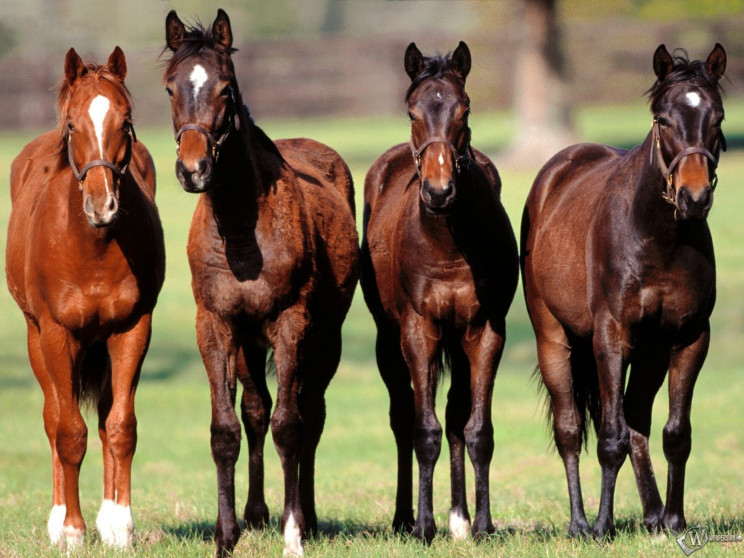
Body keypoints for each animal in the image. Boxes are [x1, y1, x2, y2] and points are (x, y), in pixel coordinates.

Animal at [6, 47, 164, 552]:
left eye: (126, 122)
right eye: (73, 125)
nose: (102, 205)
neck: (92, 247)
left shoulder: (132, 329)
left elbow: (120, 427)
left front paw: (119, 526)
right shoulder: (57, 335)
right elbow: (67, 431)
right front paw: (72, 530)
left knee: (104, 420)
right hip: (38, 340)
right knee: (53, 417)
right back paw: (59, 520)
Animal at [163, 9, 360, 558]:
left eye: (226, 88)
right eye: (170, 88)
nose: (193, 169)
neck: (240, 230)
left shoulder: (291, 324)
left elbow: (290, 426)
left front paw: (293, 532)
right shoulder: (216, 325)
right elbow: (226, 429)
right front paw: (225, 535)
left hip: (325, 338)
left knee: (309, 412)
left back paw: (306, 517)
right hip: (249, 342)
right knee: (255, 410)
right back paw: (255, 514)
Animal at [360, 41, 516, 544]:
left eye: (464, 109)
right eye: (412, 111)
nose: (439, 189)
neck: (448, 240)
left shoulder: (485, 331)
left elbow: (477, 429)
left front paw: (482, 524)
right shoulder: (418, 330)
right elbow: (421, 429)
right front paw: (424, 526)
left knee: (455, 417)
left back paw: (460, 518)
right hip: (387, 340)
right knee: (403, 417)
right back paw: (403, 517)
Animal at [520, 44, 724, 544]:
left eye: (718, 118)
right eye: (663, 119)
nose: (694, 198)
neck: (659, 238)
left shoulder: (689, 338)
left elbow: (675, 433)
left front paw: (675, 521)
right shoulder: (611, 338)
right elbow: (607, 438)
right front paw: (602, 525)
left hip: (650, 353)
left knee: (636, 420)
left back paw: (652, 515)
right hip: (555, 339)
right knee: (571, 429)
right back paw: (578, 522)